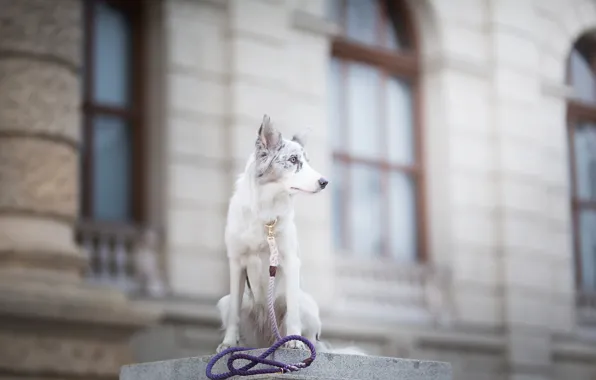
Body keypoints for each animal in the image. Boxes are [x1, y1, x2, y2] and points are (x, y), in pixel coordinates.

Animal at [214, 113, 364, 356]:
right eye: (293, 160)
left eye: (307, 161)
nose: (325, 182)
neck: (266, 212)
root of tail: (267, 340)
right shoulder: (236, 263)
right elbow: (234, 317)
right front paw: (228, 344)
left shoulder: (291, 261)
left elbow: (293, 309)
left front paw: (294, 342)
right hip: (225, 302)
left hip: (308, 304)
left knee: (306, 329)